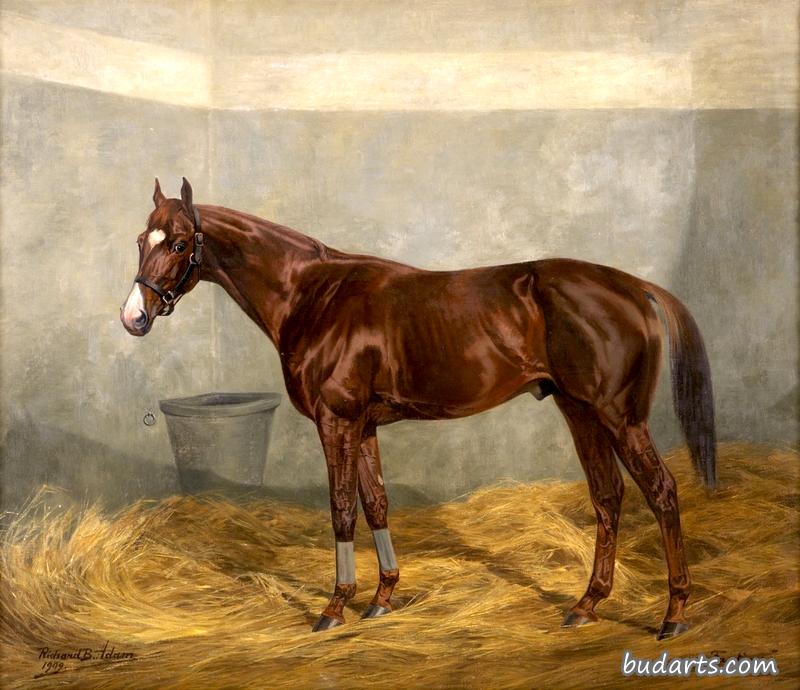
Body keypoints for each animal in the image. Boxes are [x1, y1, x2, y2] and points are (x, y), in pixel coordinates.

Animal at [121, 178, 716, 640]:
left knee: (661, 492)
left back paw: (674, 614)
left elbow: (342, 508)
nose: (134, 317)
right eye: (141, 240)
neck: (315, 297)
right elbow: (377, 503)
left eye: (179, 243)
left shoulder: (337, 421)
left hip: (619, 417)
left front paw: (335, 606)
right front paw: (382, 598)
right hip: (581, 412)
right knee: (608, 497)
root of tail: (632, 286)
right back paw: (586, 604)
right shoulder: (363, 427)